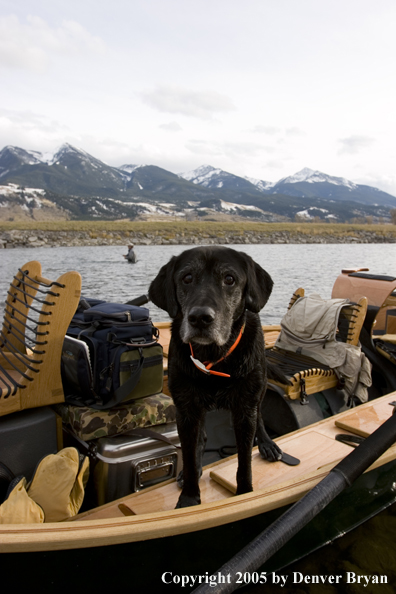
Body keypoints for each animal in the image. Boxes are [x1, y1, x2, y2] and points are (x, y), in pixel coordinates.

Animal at [148, 243, 282, 506]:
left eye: (229, 279)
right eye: (187, 278)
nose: (200, 318)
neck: (213, 358)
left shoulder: (244, 410)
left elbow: (244, 464)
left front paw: (244, 495)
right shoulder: (186, 411)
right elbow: (190, 457)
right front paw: (189, 499)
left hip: (259, 386)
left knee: (260, 415)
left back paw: (266, 443)